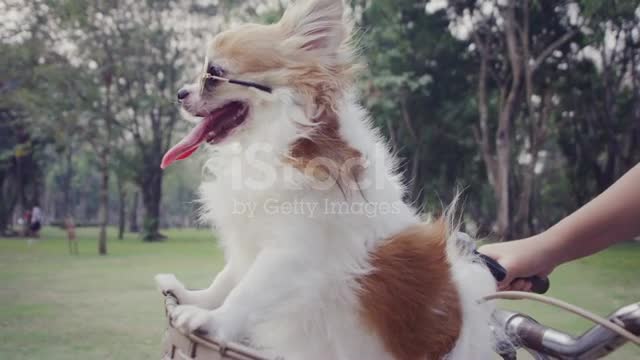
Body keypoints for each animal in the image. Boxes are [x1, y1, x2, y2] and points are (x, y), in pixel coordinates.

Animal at [155, 1, 496, 358]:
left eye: (214, 74)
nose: (180, 93)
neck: (271, 144)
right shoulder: (251, 242)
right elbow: (227, 278)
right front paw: (193, 297)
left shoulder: (291, 253)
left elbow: (247, 291)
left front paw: (211, 320)